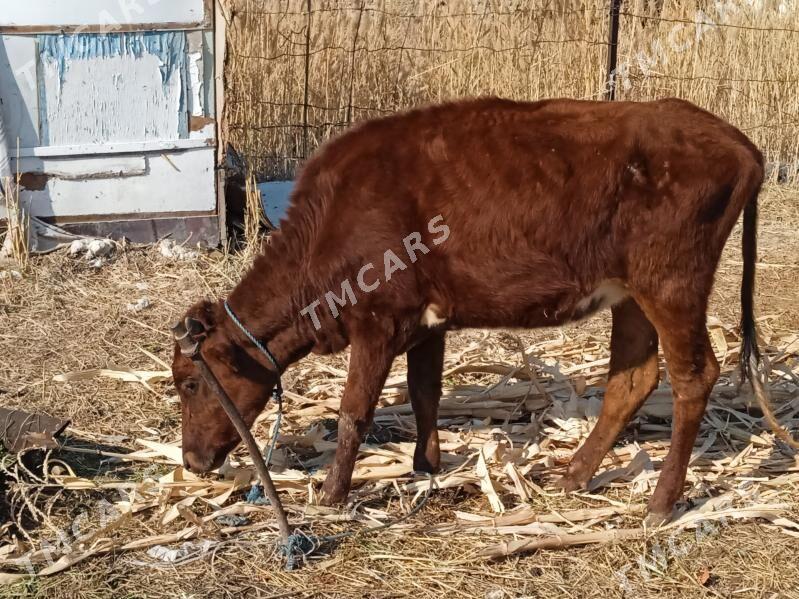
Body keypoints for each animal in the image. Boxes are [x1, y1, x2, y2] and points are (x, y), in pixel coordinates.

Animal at [173, 97, 776, 524]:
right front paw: (426, 466)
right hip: (630, 296)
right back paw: (575, 475)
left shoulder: (377, 323)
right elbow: (424, 394)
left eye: (190, 383)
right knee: (633, 379)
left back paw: (661, 501)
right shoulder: (423, 323)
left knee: (694, 376)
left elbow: (353, 414)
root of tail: (739, 142)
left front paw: (332, 493)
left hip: (672, 286)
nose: (192, 462)